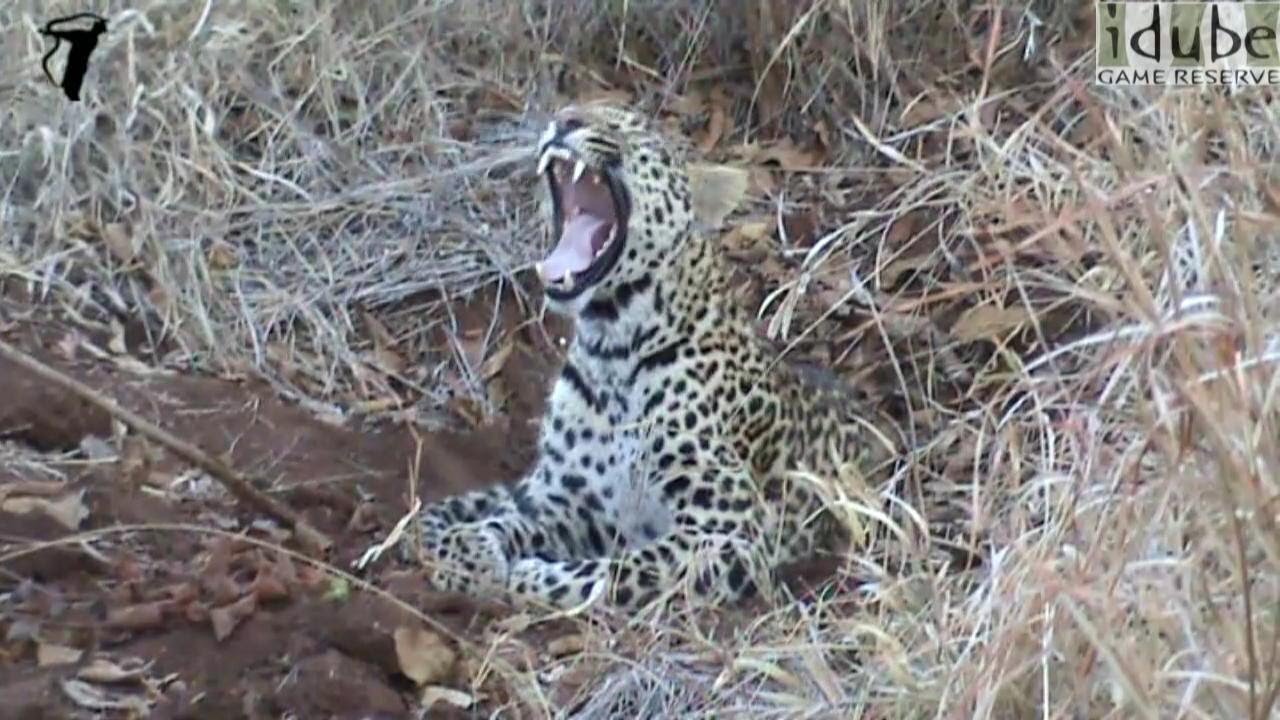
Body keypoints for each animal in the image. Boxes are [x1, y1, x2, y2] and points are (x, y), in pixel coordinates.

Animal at [409, 102, 901, 609]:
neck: (612, 347)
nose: (564, 119)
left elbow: (627, 569)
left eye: (628, 128)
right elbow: (517, 520)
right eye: (572, 112)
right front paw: (473, 553)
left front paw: (532, 578)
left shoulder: (729, 533)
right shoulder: (576, 500)